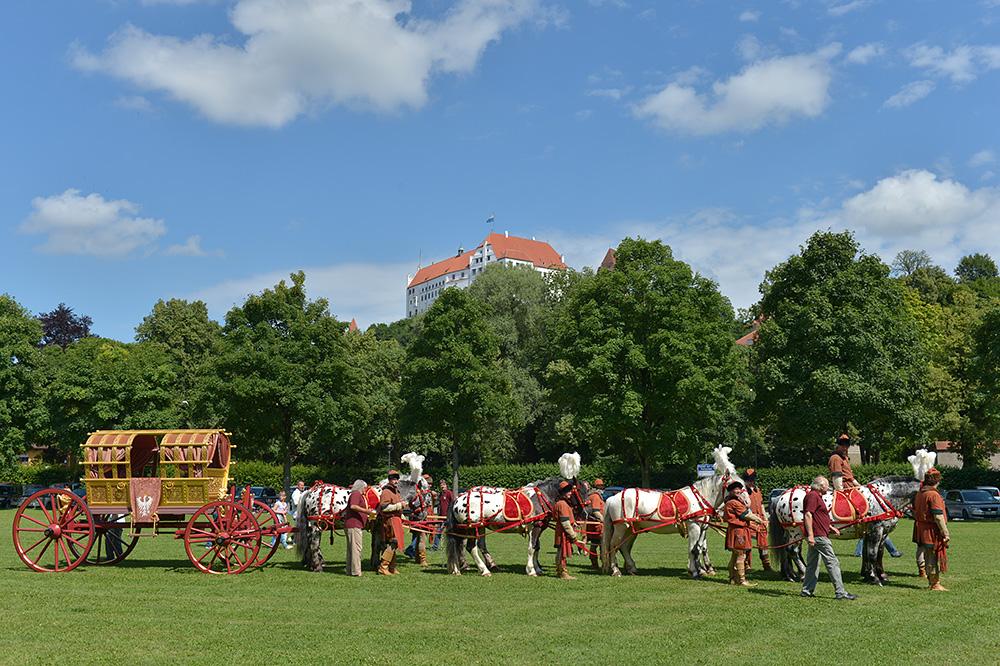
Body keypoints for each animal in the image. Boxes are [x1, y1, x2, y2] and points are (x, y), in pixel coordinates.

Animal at [596, 446, 740, 576]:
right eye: (734, 486)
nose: (743, 502)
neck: (700, 497)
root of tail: (612, 498)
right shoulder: (694, 526)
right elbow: (693, 549)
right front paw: (695, 570)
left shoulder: (703, 527)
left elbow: (699, 548)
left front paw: (702, 569)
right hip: (621, 526)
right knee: (613, 545)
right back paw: (615, 570)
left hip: (631, 529)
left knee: (624, 547)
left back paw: (631, 568)